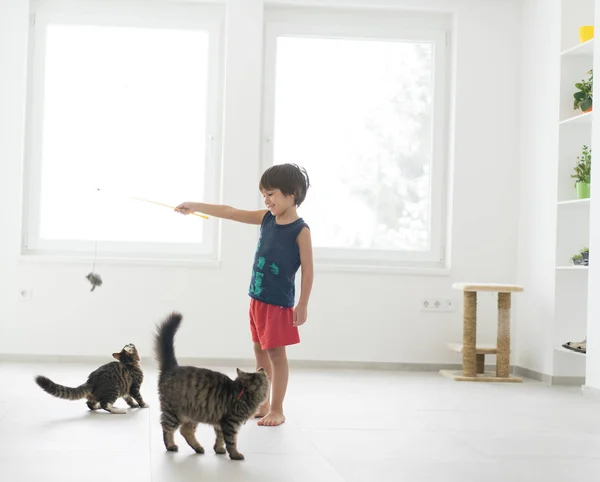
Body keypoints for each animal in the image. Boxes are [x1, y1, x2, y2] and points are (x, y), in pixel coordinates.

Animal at [155, 312, 270, 460]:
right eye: (258, 379)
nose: (263, 371)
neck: (242, 393)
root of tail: (173, 367)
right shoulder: (230, 422)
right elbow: (231, 441)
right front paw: (235, 454)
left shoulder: (221, 422)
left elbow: (220, 438)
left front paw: (219, 449)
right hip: (173, 412)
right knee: (167, 428)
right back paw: (171, 446)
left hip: (193, 413)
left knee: (185, 430)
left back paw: (198, 448)